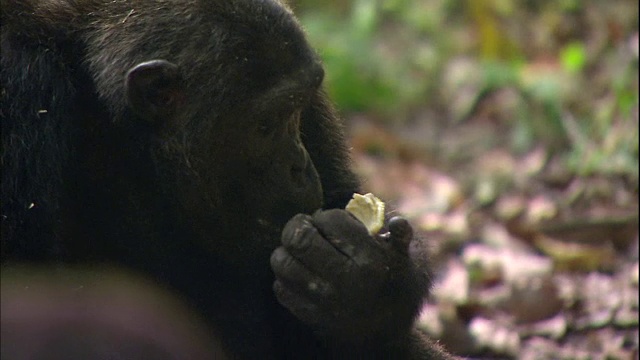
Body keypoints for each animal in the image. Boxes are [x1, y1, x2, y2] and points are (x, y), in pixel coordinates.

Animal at [2, 0, 456, 358]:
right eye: (265, 125)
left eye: (297, 109)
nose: (299, 165)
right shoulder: (22, 93)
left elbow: (343, 190)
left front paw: (362, 282)